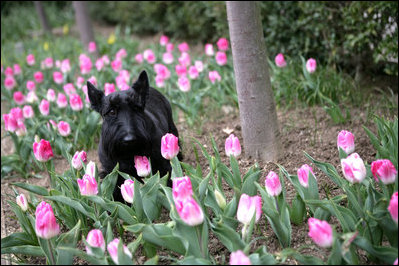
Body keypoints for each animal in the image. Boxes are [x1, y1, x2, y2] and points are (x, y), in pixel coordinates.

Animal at [88, 70, 182, 202]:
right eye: (111, 111)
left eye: (136, 108)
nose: (129, 139)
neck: (129, 153)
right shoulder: (112, 171)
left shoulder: (163, 166)